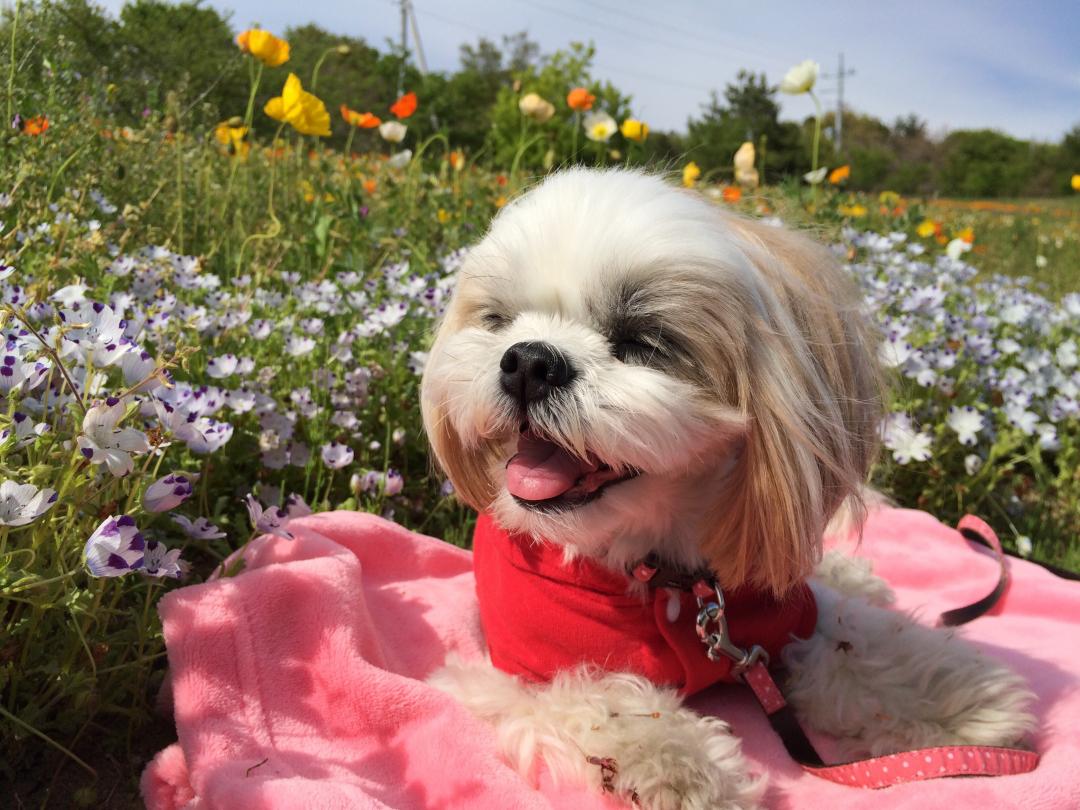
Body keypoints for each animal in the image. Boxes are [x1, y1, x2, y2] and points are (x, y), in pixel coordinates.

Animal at [416, 168, 1032, 807]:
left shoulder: (780, 618)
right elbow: (601, 696)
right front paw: (685, 769)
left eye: (643, 341)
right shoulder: (526, 671)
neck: (669, 577)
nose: (529, 362)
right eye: (498, 321)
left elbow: (857, 644)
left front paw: (961, 698)